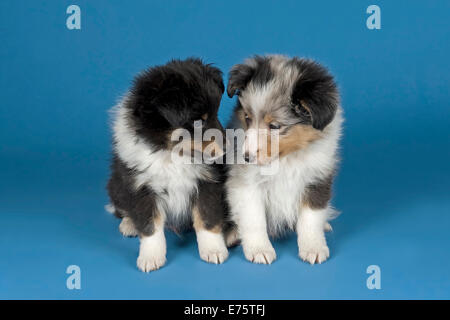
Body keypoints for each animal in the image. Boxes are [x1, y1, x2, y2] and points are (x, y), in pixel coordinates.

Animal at [107, 58, 230, 272]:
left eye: (216, 113)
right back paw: (129, 225)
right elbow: (150, 226)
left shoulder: (208, 182)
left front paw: (214, 251)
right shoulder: (141, 187)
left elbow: (207, 218)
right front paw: (150, 258)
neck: (171, 153)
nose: (228, 148)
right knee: (121, 207)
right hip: (117, 185)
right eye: (198, 122)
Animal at [227, 55, 342, 264]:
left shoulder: (317, 178)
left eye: (274, 126)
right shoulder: (246, 184)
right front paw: (259, 250)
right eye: (247, 118)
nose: (246, 157)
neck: (287, 158)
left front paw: (313, 247)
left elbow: (311, 218)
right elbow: (254, 219)